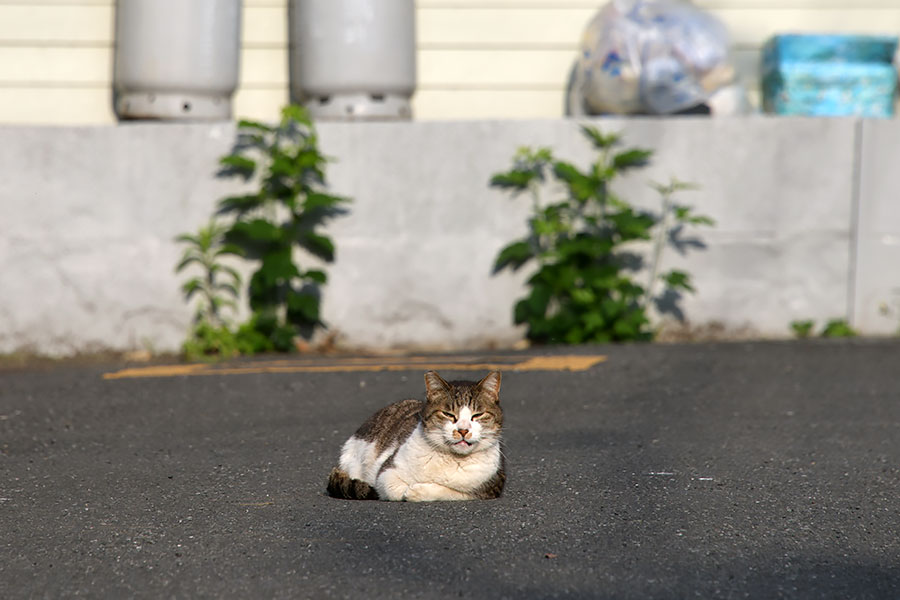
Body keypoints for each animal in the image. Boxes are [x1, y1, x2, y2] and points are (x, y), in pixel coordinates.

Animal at [326, 370, 506, 502]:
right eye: (448, 414)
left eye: (478, 415)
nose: (463, 430)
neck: (450, 459)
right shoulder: (387, 472)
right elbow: (392, 489)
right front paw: (407, 491)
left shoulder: (491, 487)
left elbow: (452, 492)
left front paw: (418, 491)